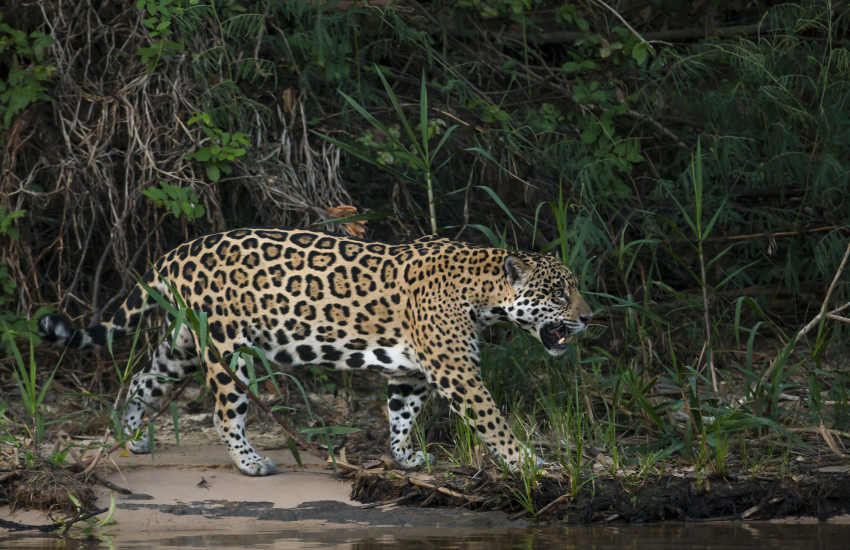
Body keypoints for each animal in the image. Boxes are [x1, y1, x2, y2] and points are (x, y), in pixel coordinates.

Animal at [38, 227, 593, 475]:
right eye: (559, 293)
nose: (588, 317)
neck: (482, 292)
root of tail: (178, 252)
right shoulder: (456, 371)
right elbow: (493, 420)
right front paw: (529, 462)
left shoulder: (412, 372)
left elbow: (402, 413)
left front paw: (404, 456)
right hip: (228, 349)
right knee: (225, 412)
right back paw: (251, 462)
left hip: (182, 347)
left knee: (141, 380)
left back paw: (131, 438)